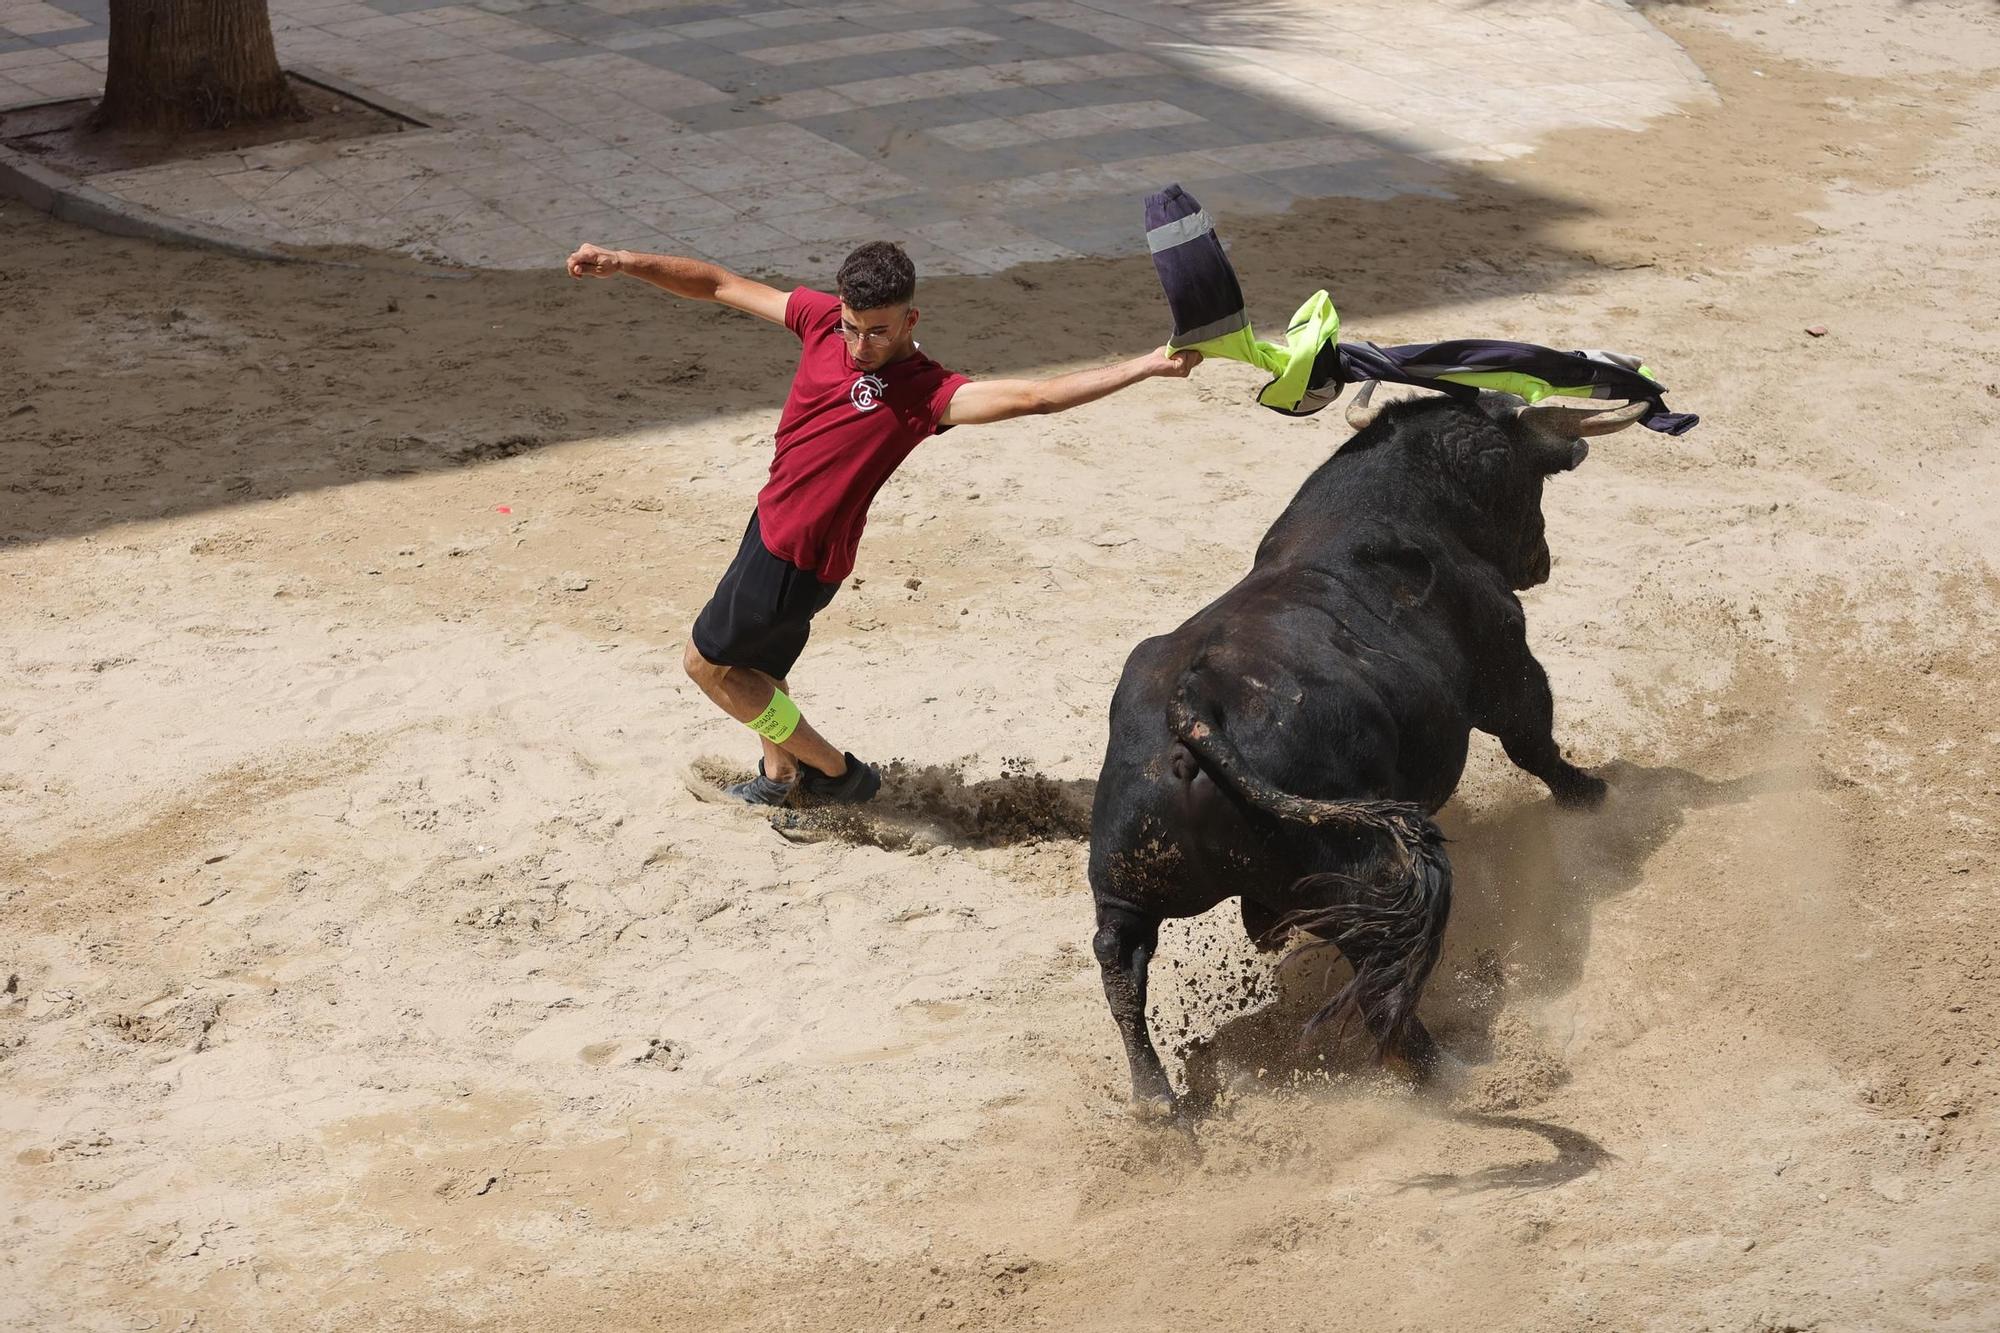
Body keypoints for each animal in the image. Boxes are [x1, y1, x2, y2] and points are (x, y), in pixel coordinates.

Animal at [1088, 386, 1648, 1112]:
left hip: (1125, 874)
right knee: (1384, 978)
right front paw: (1592, 794)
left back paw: (1156, 1098)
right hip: (1358, 881)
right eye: (1532, 480)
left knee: (1119, 957)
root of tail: (1195, 705)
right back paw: (1447, 1072)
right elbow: (1535, 743)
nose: (1542, 560)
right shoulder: (1507, 663)